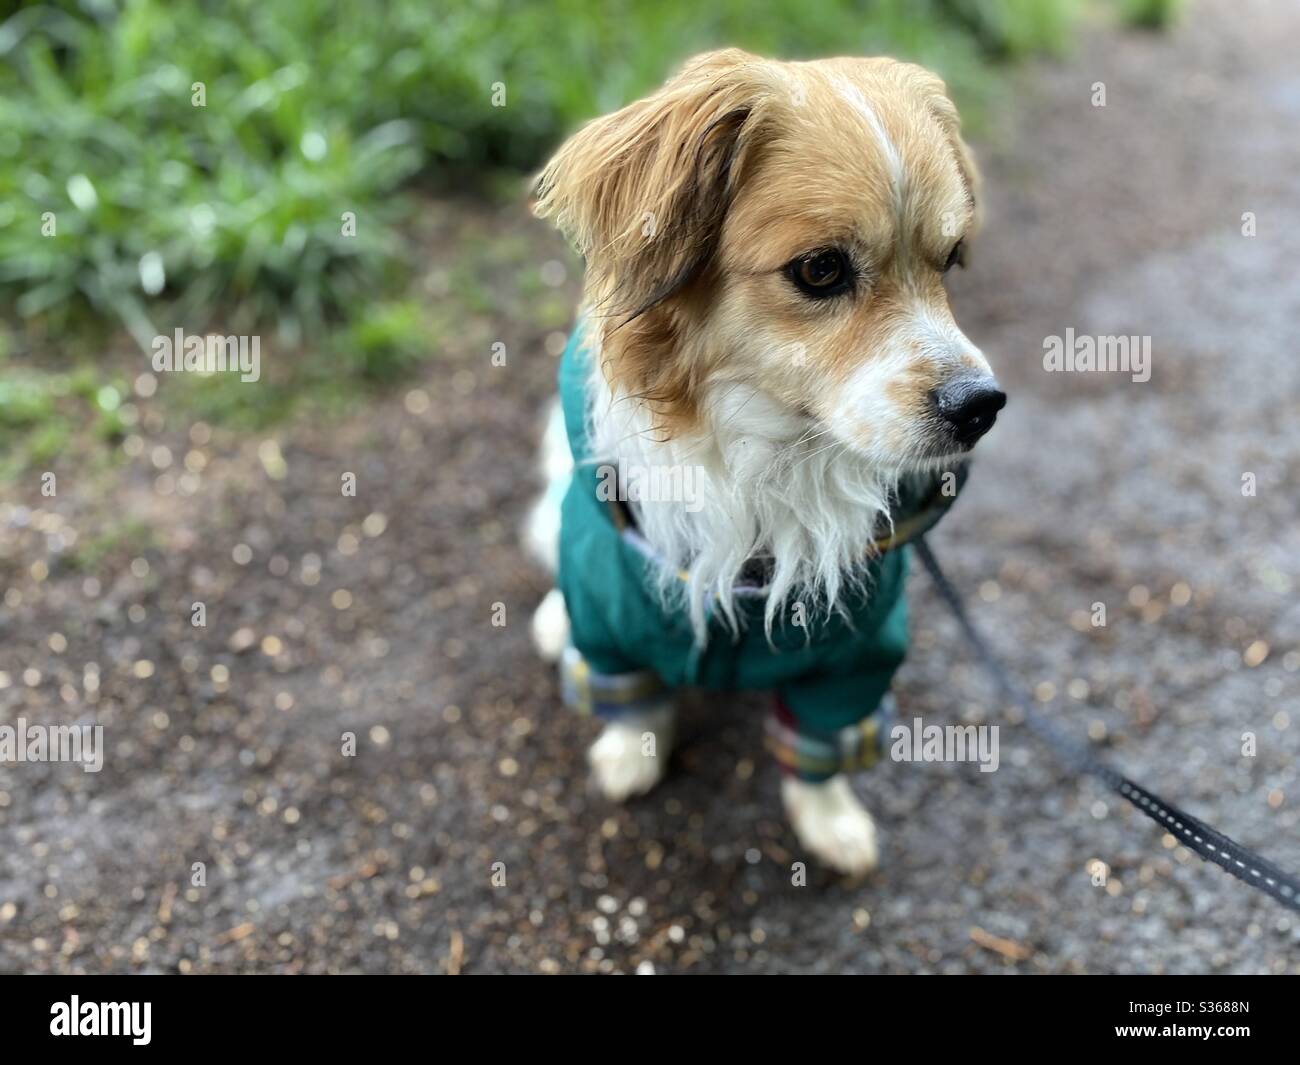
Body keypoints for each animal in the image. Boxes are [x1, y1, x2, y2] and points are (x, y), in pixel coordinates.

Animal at [522, 50, 998, 873]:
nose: (982, 406)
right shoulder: (613, 604)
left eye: (950, 260)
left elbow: (819, 749)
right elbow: (634, 702)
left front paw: (831, 820)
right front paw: (630, 756)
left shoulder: (854, 657)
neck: (768, 462)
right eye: (820, 270)